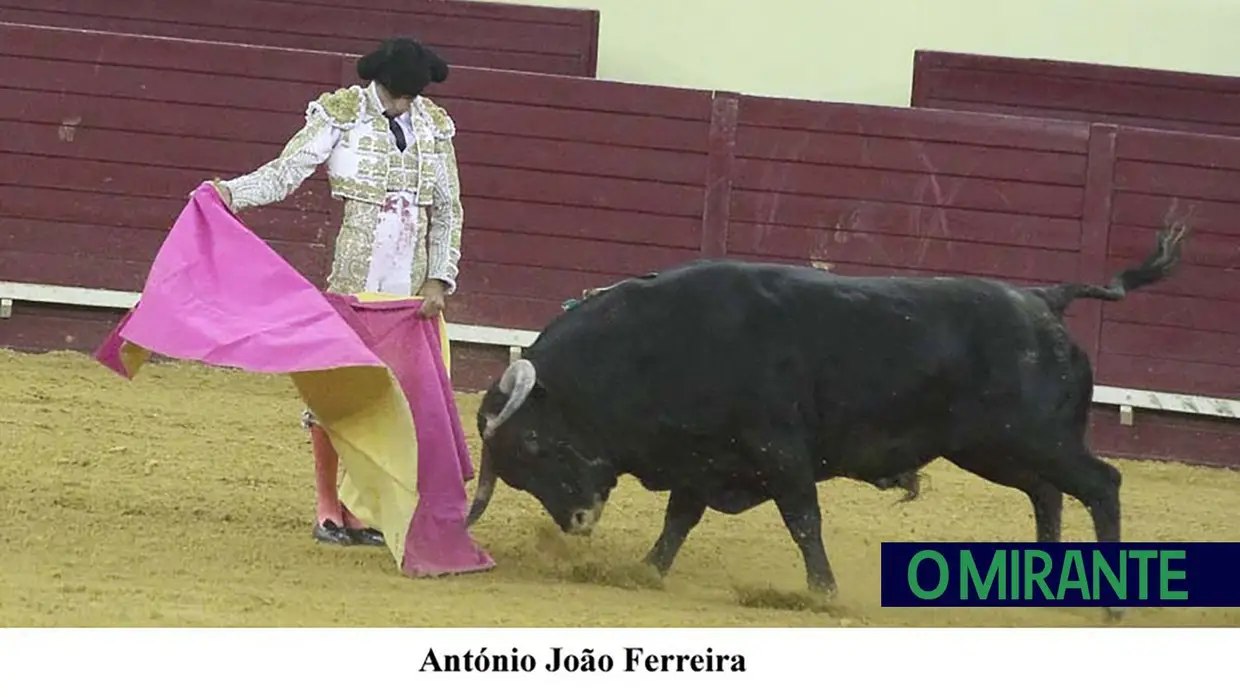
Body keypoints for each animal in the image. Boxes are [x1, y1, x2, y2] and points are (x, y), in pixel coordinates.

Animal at [466, 219, 1190, 615]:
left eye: (535, 444)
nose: (578, 522)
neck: (661, 345)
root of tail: (1044, 298)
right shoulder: (704, 460)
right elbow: (679, 522)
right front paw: (644, 571)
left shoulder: (778, 451)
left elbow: (802, 520)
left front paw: (822, 592)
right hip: (996, 448)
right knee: (1048, 493)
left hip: (1034, 439)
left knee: (1099, 484)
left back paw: (1112, 605)